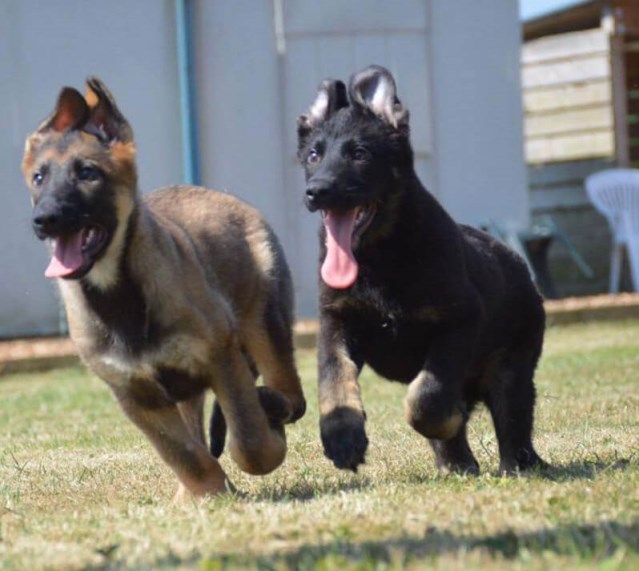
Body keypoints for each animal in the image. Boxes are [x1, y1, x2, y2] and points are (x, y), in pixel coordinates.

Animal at [298, 67, 548, 476]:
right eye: (314, 155)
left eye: (360, 154)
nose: (316, 191)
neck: (378, 257)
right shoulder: (336, 321)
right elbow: (334, 378)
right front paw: (342, 437)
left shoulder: (459, 321)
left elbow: (428, 397)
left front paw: (445, 420)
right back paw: (456, 463)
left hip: (512, 366)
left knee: (514, 423)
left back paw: (516, 464)